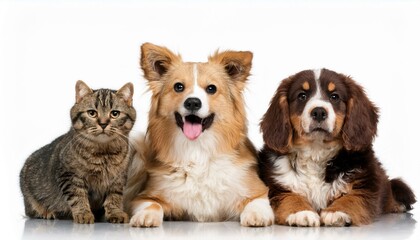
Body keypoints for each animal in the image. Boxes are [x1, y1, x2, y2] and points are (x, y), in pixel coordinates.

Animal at [19, 80, 136, 223]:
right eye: (92, 113)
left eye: (115, 113)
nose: (103, 123)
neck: (103, 153)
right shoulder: (69, 176)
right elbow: (78, 197)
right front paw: (83, 213)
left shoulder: (118, 180)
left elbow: (114, 197)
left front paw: (115, 212)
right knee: (31, 211)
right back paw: (47, 212)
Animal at [124, 42, 274, 228]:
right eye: (178, 87)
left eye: (211, 89)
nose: (193, 102)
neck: (197, 150)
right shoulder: (144, 196)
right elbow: (152, 204)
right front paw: (146, 215)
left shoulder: (257, 190)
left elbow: (257, 202)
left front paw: (256, 215)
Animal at [258, 68, 416, 226]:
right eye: (302, 96)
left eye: (334, 97)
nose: (319, 112)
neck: (316, 150)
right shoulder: (277, 185)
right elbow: (290, 196)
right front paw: (301, 212)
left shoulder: (366, 183)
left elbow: (352, 197)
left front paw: (336, 212)